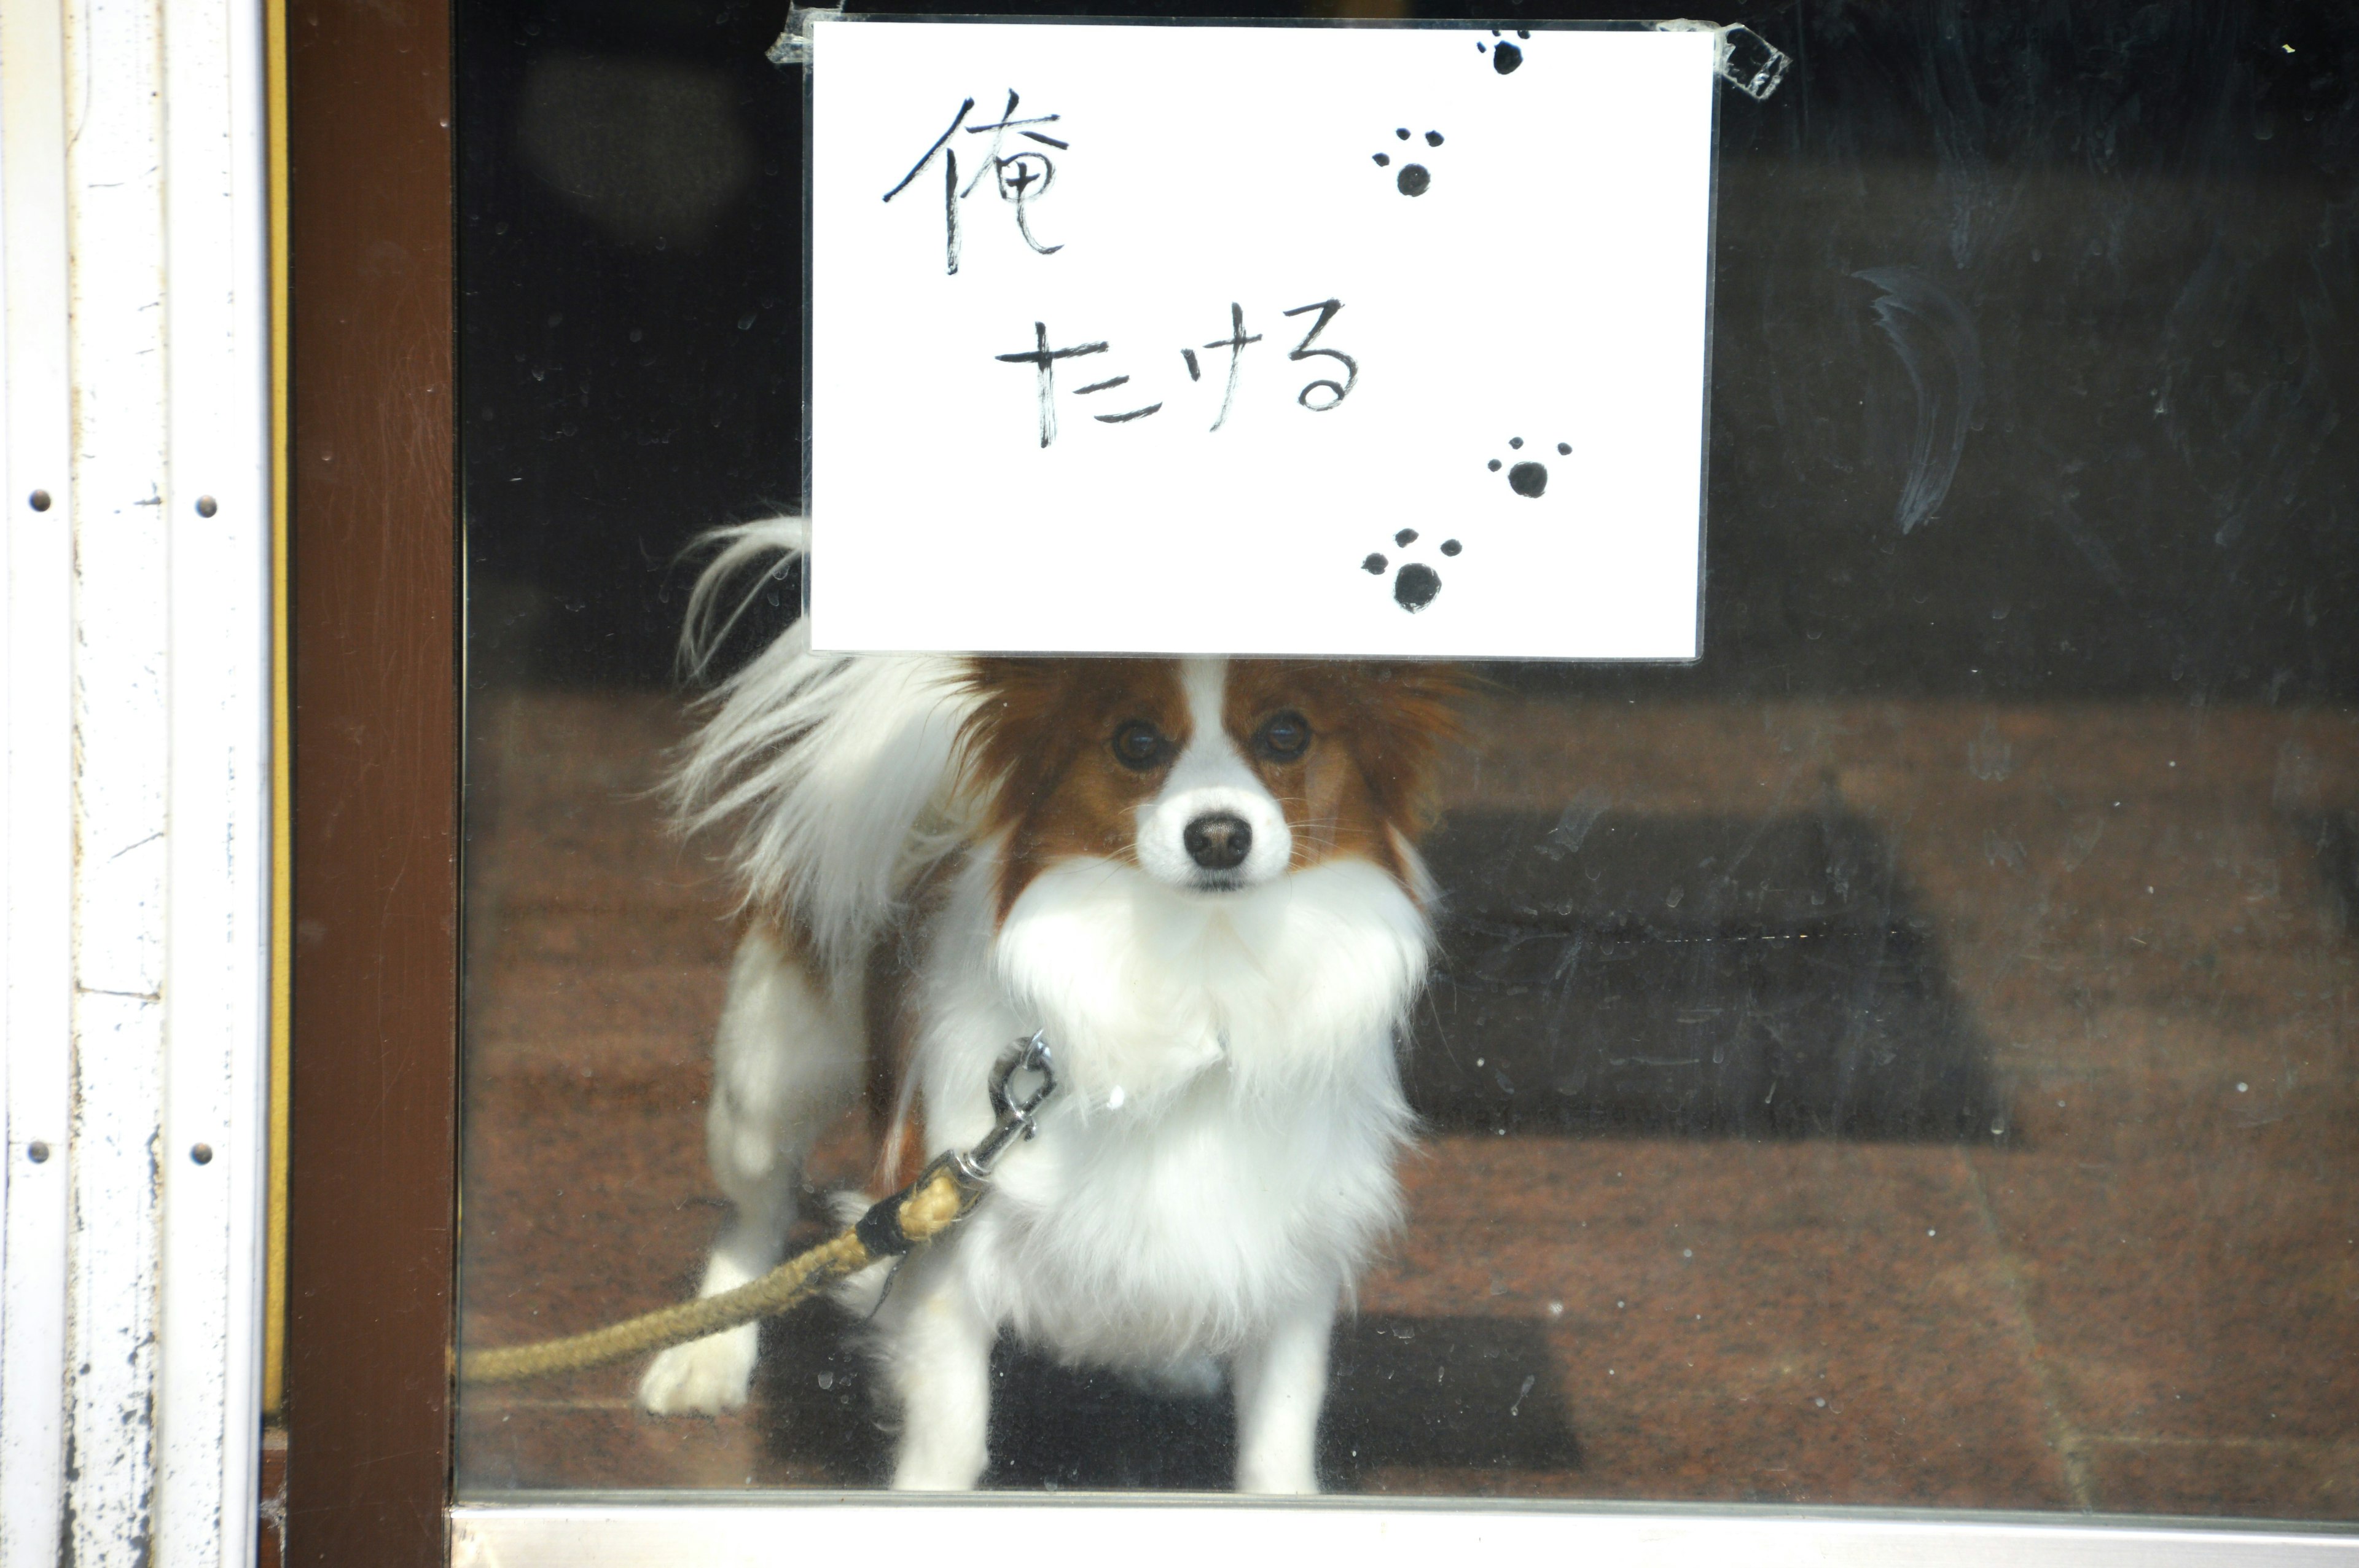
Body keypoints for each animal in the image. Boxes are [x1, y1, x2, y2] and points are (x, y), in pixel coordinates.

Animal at [636, 516, 1462, 1490]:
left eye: (1288, 735)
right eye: (1137, 743)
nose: (1218, 834)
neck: (1197, 962)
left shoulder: (1290, 1256)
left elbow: (1278, 1446)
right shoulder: (946, 1233)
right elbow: (950, 1438)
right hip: (772, 1076)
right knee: (755, 1216)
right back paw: (705, 1356)